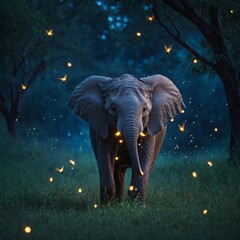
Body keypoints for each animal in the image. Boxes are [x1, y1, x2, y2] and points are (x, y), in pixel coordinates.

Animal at [68, 73, 185, 204]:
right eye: (113, 108)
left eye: (144, 110)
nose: (140, 171)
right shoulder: (103, 125)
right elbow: (106, 156)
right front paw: (107, 205)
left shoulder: (150, 128)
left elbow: (144, 156)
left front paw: (136, 205)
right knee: (117, 170)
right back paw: (118, 202)